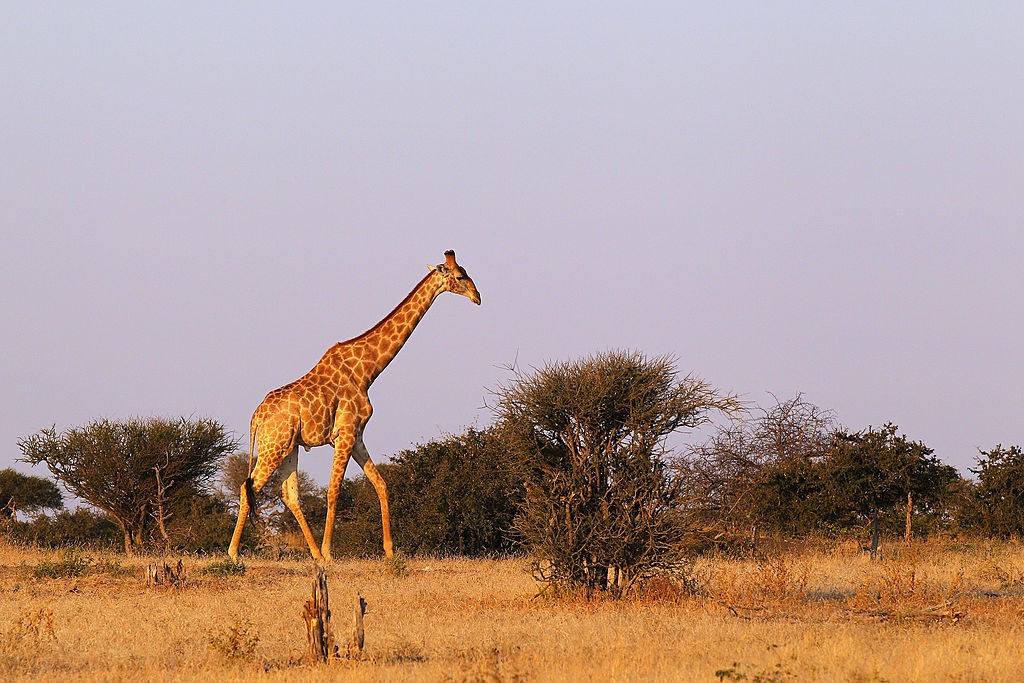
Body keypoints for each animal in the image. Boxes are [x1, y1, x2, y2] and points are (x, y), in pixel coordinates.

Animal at [227, 249, 479, 561]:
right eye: (460, 276)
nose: (478, 296)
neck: (367, 372)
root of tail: (255, 417)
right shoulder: (344, 433)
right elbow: (333, 490)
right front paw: (330, 552)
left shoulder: (357, 435)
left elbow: (381, 484)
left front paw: (389, 551)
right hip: (274, 446)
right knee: (248, 486)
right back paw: (234, 553)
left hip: (288, 447)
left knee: (289, 495)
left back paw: (314, 554)